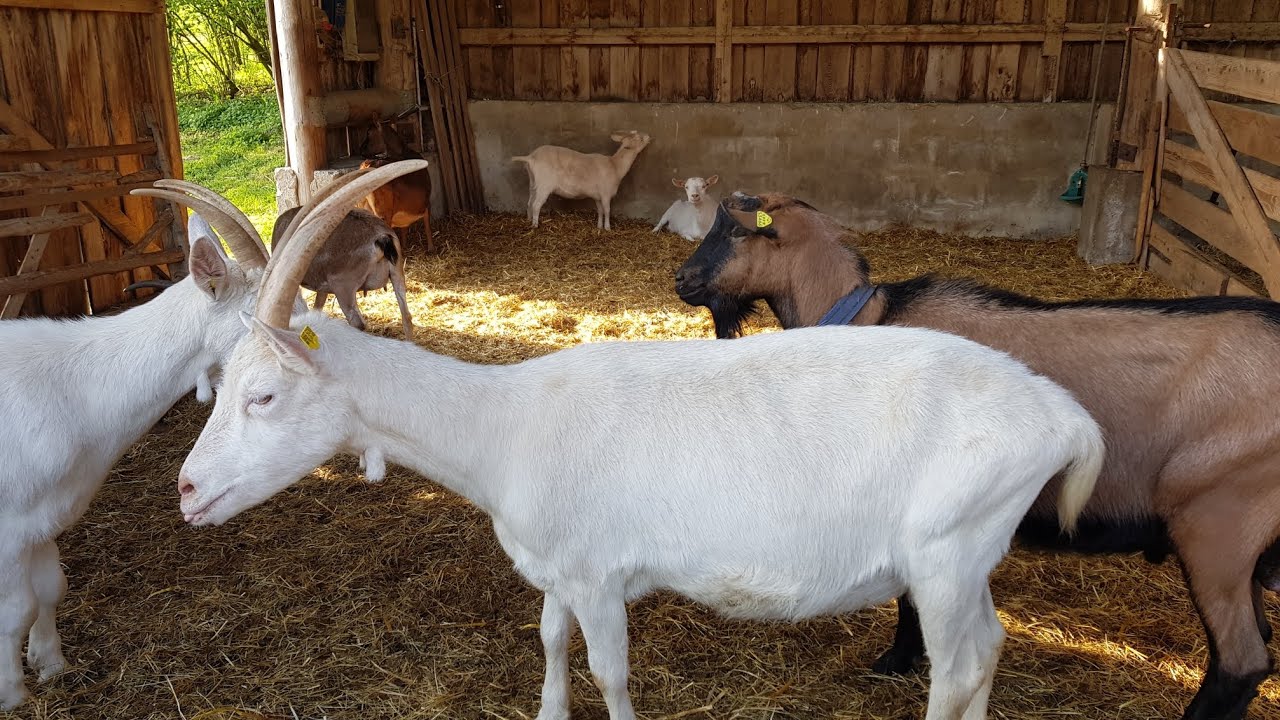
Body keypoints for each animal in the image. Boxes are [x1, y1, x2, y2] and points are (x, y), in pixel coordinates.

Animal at [269, 205, 414, 340]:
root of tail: (382, 239)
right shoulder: (322, 285)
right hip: (397, 273)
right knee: (406, 316)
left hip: (343, 285)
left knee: (358, 323)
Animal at [358, 121, 435, 253]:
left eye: (369, 132)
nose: (361, 150)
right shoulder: (426, 203)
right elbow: (427, 225)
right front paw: (431, 249)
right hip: (382, 215)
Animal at [512, 130, 651, 230]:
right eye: (639, 138)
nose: (649, 136)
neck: (614, 165)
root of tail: (531, 157)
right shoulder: (605, 193)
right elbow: (607, 210)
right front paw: (608, 228)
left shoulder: (597, 196)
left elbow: (600, 210)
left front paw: (599, 227)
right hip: (544, 185)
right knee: (536, 205)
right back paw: (535, 225)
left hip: (533, 182)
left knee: (529, 202)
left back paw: (528, 221)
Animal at [674, 191, 1280, 720]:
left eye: (734, 230)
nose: (682, 280)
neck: (868, 320)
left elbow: (910, 598)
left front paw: (896, 659)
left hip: (1217, 526)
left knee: (1243, 660)